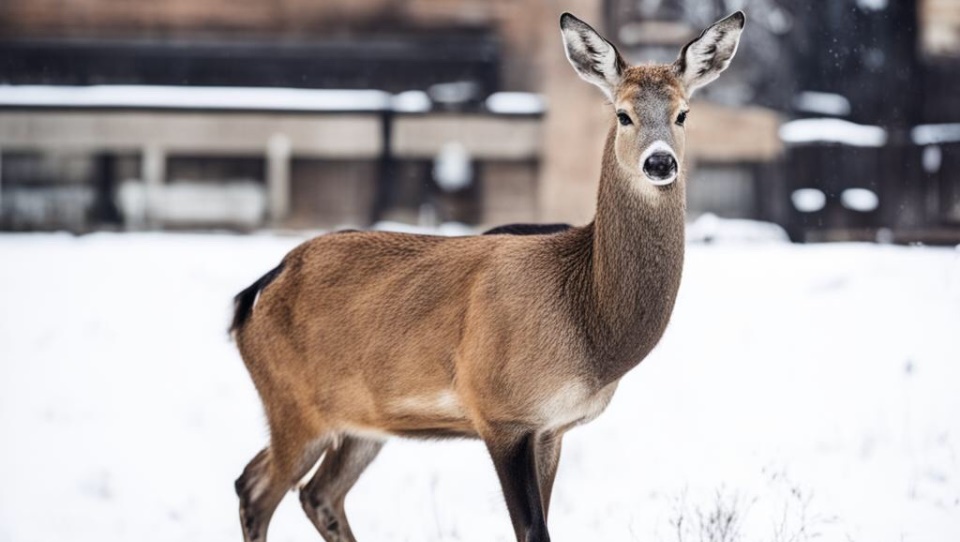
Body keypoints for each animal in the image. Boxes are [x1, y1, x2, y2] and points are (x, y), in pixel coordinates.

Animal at [234, 11, 752, 542]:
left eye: (683, 113)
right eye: (623, 114)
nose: (660, 162)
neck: (585, 322)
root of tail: (254, 294)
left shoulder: (552, 428)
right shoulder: (500, 410)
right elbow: (531, 529)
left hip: (357, 419)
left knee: (314, 492)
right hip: (291, 402)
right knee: (257, 488)